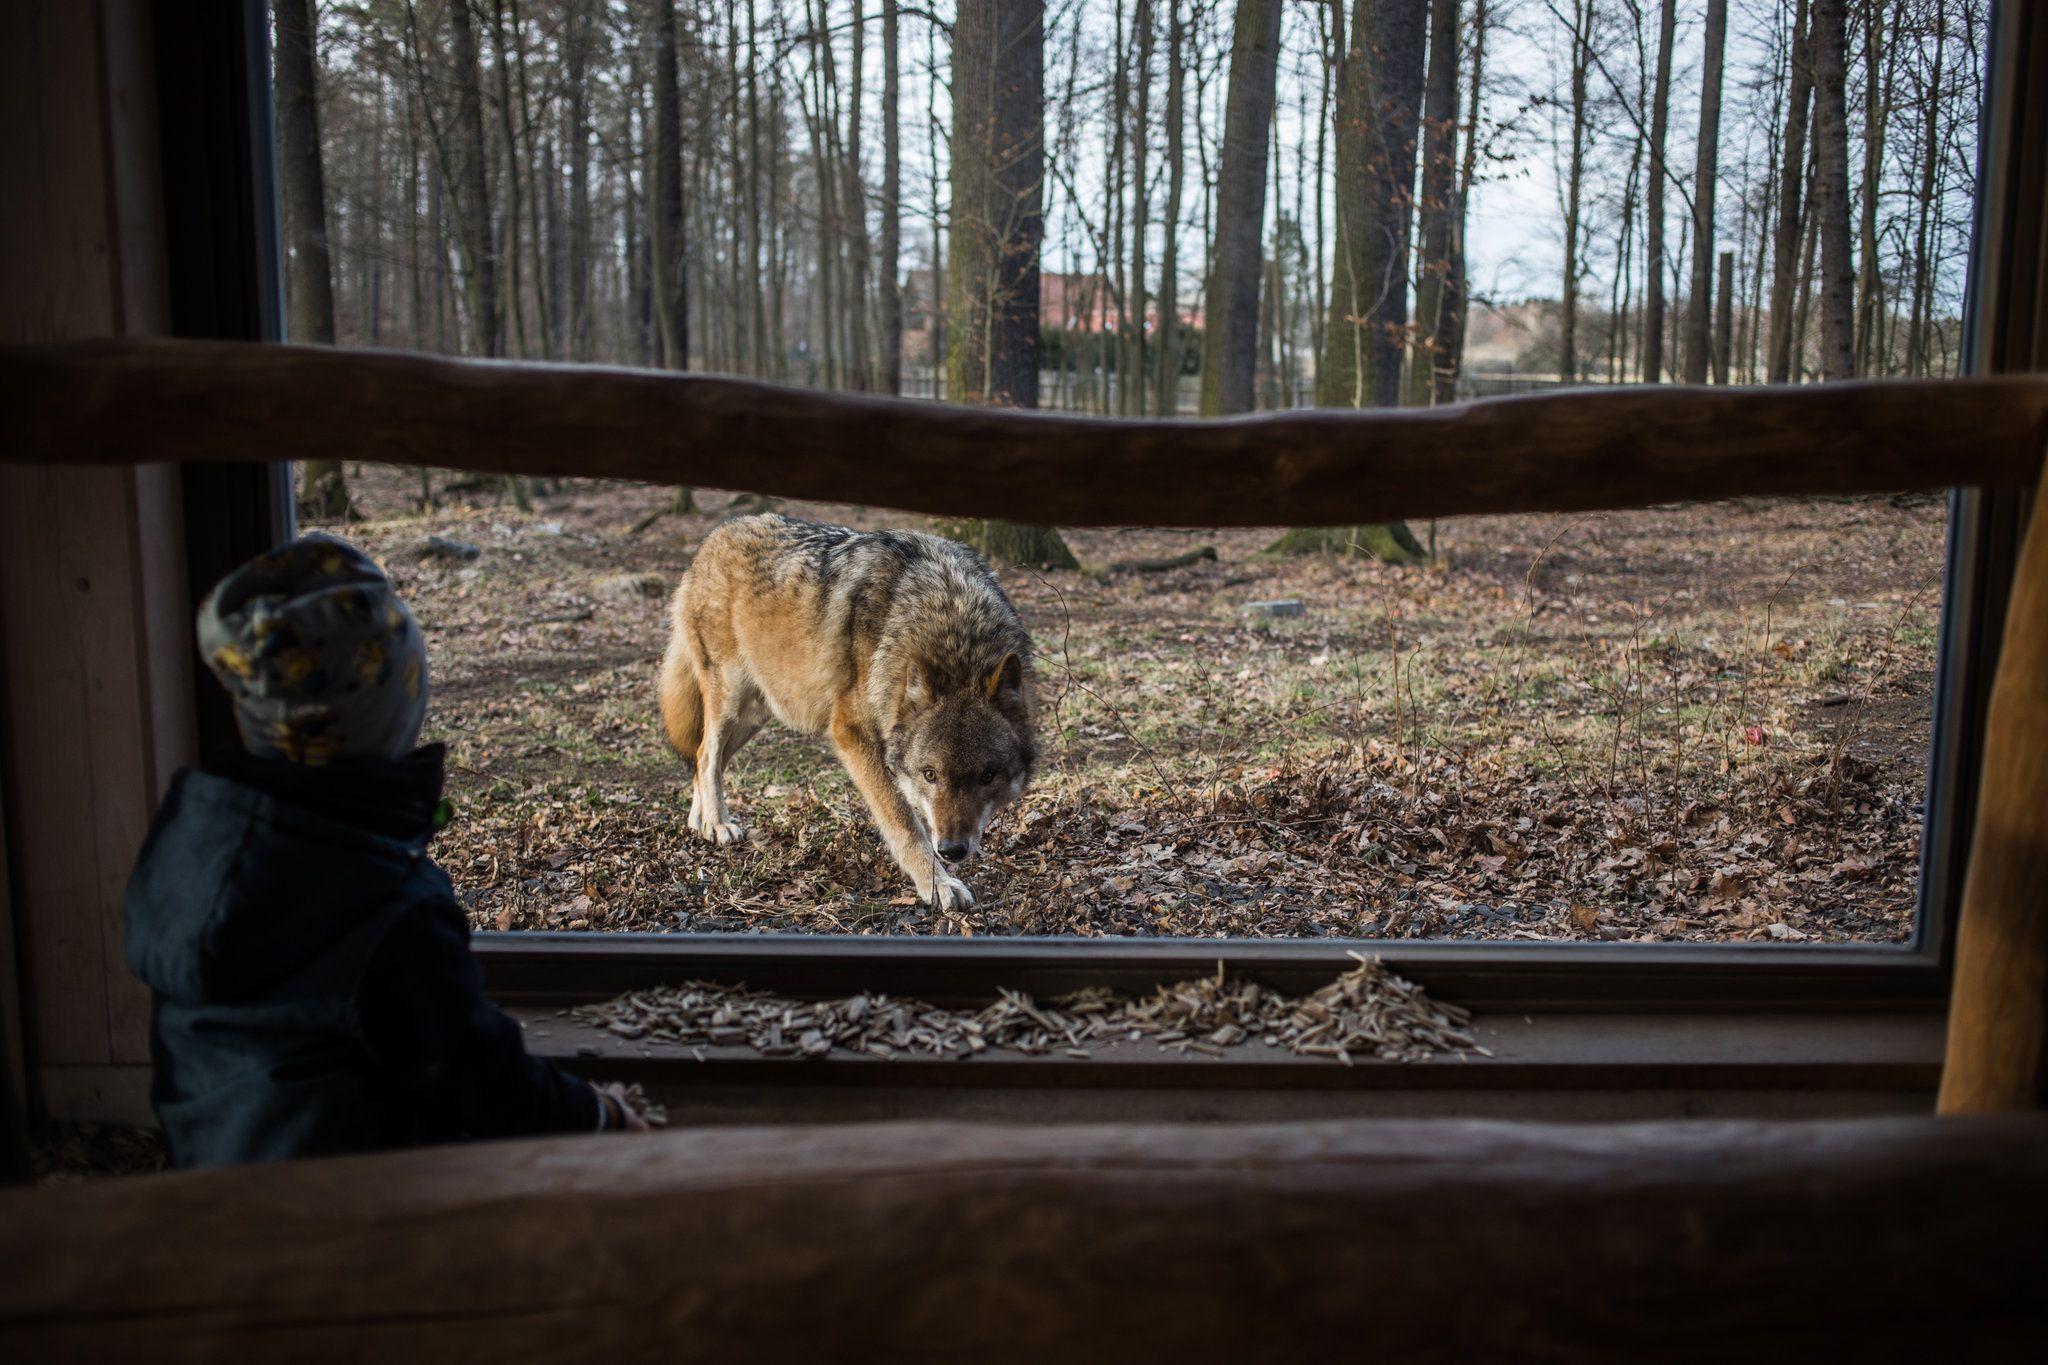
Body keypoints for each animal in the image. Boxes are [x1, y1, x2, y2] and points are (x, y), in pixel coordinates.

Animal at [658, 514, 1037, 911]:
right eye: (930, 774)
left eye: (987, 776)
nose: (952, 850)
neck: (950, 622)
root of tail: (716, 534)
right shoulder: (852, 733)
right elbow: (904, 823)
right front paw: (938, 884)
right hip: (731, 699)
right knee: (706, 753)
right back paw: (717, 824)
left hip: (757, 712)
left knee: (703, 756)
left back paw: (701, 821)